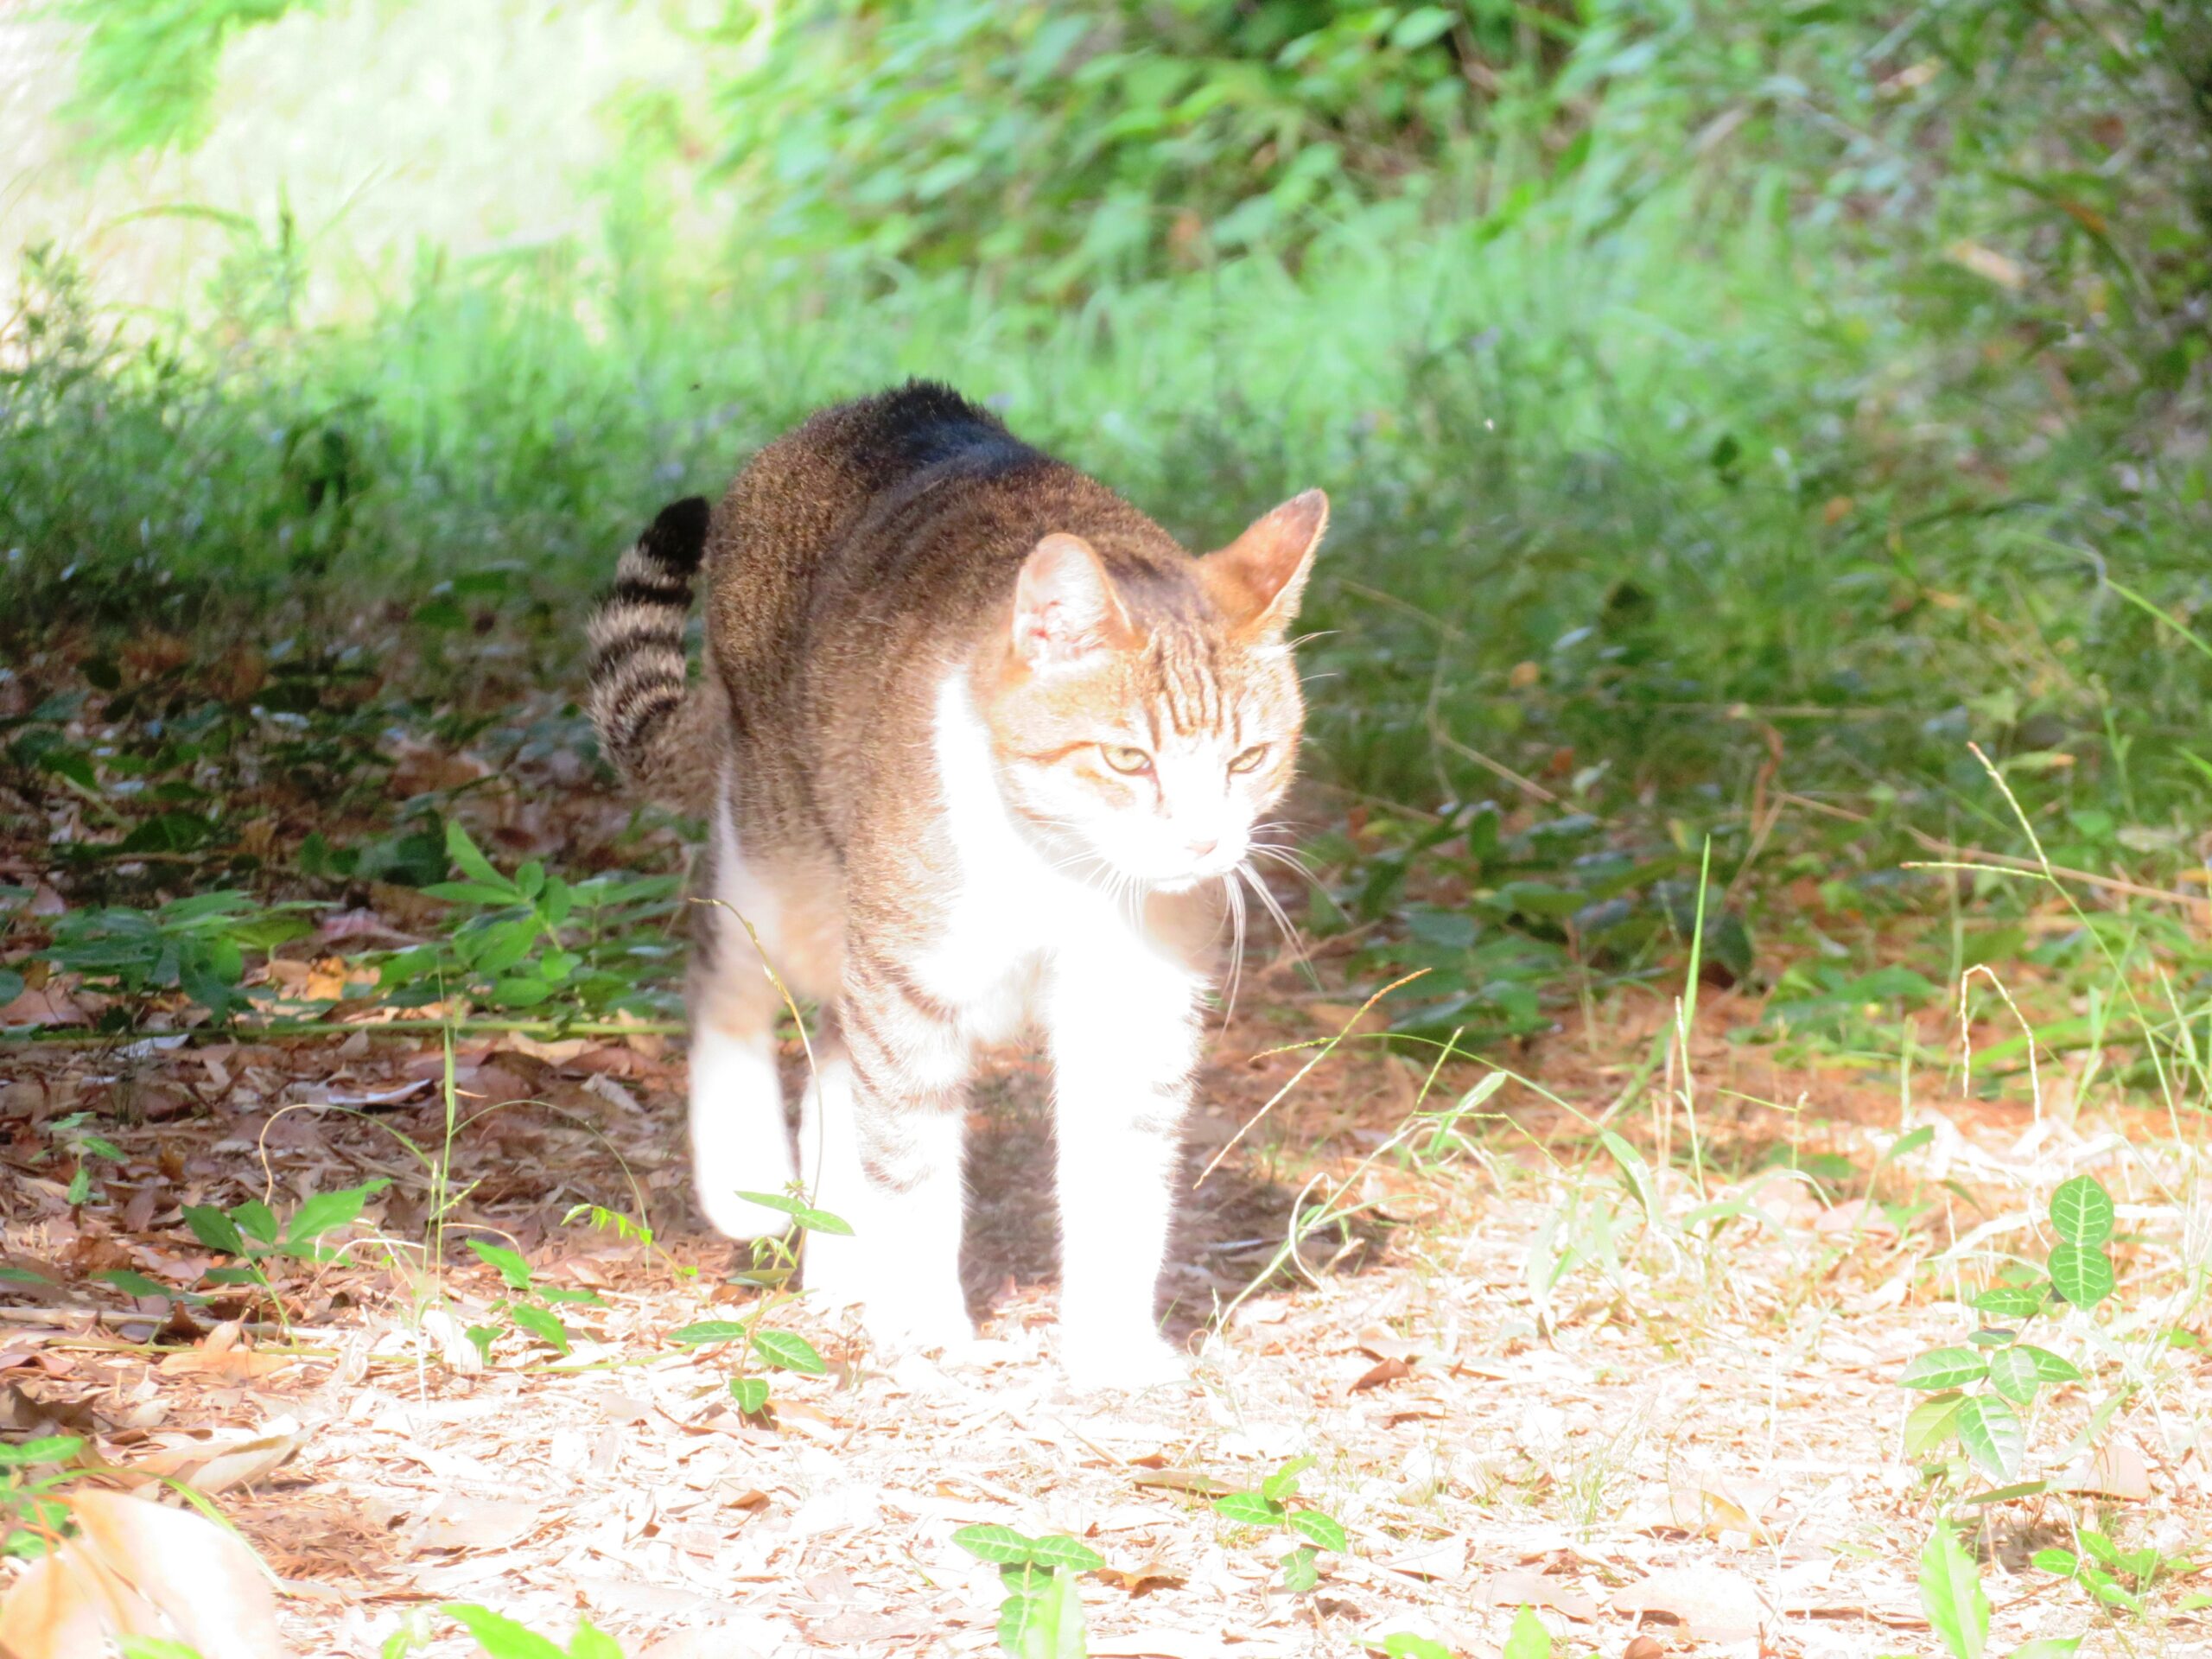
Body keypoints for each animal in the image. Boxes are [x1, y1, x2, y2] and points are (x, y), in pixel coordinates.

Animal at [579, 382, 1318, 1397]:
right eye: (1128, 759)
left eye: (1248, 759)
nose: (1205, 841)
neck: (1065, 866)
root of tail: (872, 407)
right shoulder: (909, 980)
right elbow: (914, 1170)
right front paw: (927, 1324)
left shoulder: (1137, 1002)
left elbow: (1121, 1188)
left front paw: (1111, 1345)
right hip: (785, 860)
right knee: (722, 972)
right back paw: (745, 1183)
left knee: (832, 1064)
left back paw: (840, 1264)